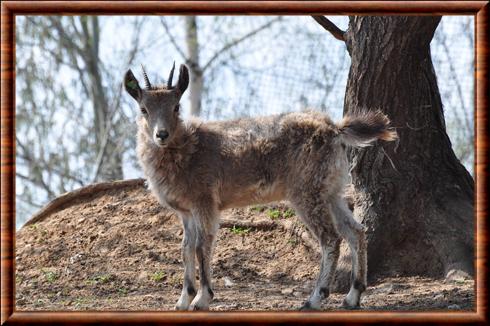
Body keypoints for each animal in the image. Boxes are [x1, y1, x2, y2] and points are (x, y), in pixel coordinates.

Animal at [123, 63, 398, 310]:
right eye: (144, 109)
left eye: (176, 106)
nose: (161, 134)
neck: (188, 151)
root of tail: (335, 130)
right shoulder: (186, 210)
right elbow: (186, 247)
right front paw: (182, 300)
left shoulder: (205, 200)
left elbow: (203, 245)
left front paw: (202, 299)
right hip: (331, 190)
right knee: (355, 231)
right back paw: (352, 297)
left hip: (306, 190)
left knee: (330, 237)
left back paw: (314, 299)